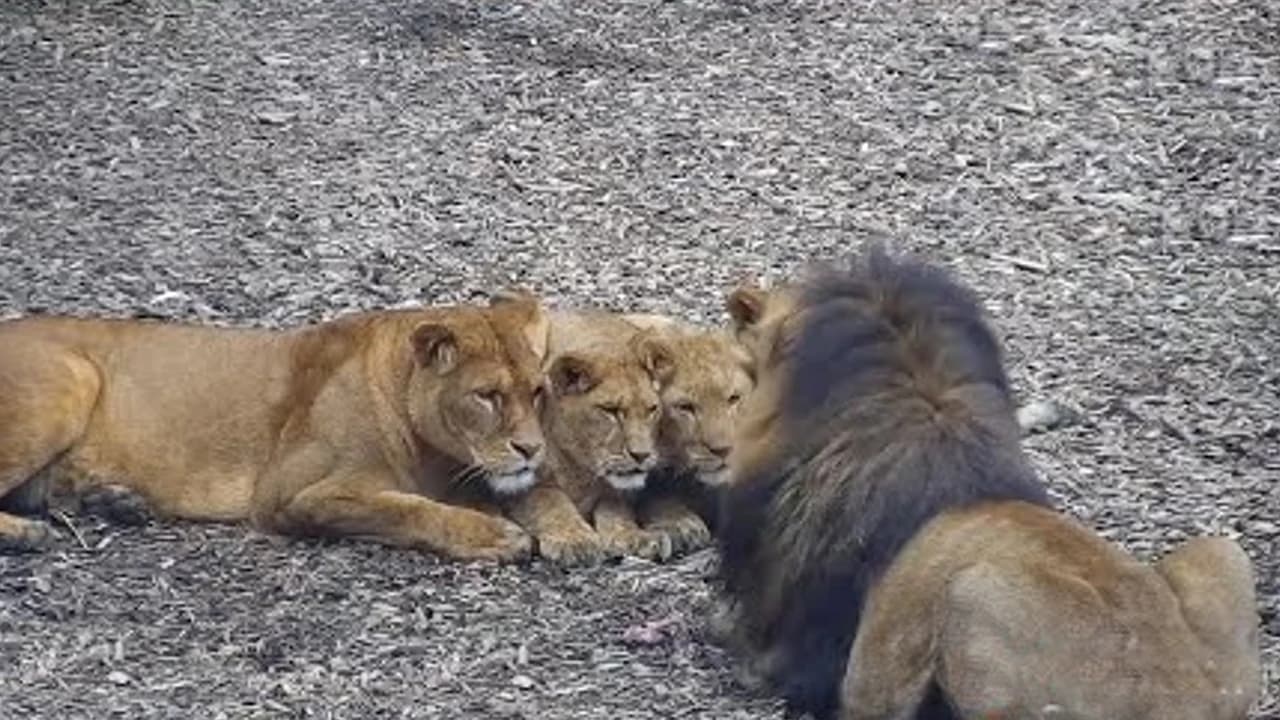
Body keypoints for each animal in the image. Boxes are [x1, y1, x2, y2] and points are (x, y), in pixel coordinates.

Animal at [0, 288, 545, 558]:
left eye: (538, 391)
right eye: (488, 397)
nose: (533, 449)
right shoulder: (293, 493)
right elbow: (405, 510)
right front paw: (495, 536)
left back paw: (118, 502)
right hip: (69, 380)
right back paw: (24, 534)